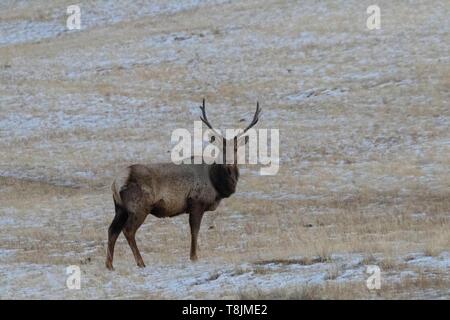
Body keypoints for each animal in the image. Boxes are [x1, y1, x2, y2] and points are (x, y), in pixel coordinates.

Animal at [105, 100, 260, 270]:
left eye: (236, 148)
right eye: (222, 148)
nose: (229, 163)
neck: (216, 184)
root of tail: (116, 182)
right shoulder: (196, 202)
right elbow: (194, 231)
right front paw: (194, 257)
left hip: (120, 208)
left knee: (112, 230)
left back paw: (110, 265)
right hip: (139, 206)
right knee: (128, 230)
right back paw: (141, 262)